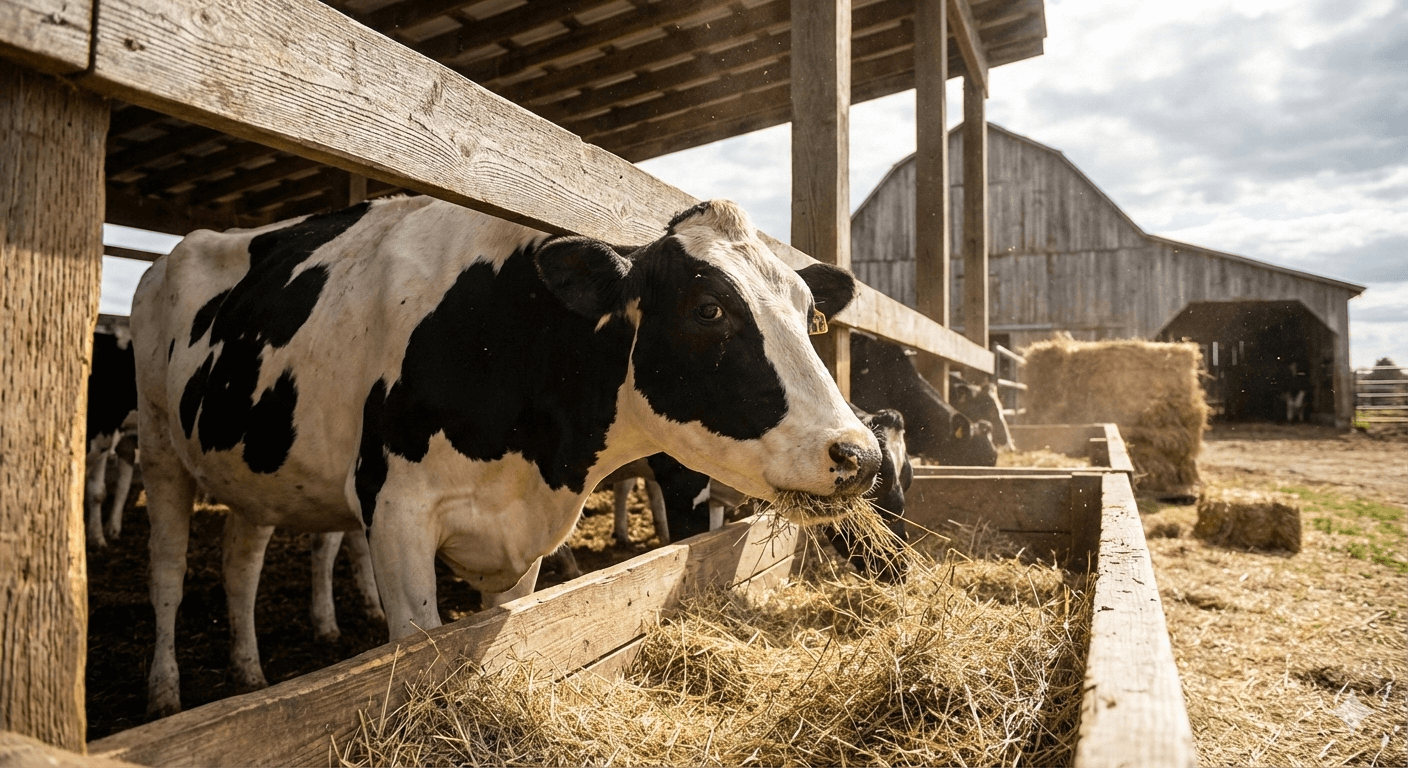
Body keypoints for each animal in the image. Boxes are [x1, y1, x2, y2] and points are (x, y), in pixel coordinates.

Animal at [132, 197, 881, 717]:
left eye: (810, 314)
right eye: (708, 309)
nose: (860, 454)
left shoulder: (522, 540)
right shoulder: (396, 515)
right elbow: (418, 647)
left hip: (251, 465)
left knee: (241, 561)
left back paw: (248, 671)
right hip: (159, 443)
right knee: (168, 569)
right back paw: (165, 689)